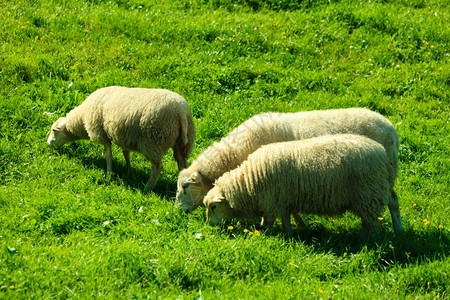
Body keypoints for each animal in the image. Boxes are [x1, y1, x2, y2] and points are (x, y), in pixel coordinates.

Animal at [47, 85, 195, 191]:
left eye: (53, 131)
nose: (48, 144)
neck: (82, 118)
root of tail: (181, 112)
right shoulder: (124, 135)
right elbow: (126, 153)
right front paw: (129, 170)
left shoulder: (101, 133)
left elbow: (108, 155)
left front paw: (109, 175)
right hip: (182, 142)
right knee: (182, 164)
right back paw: (180, 187)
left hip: (154, 141)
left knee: (157, 167)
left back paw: (147, 188)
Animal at [202, 134, 392, 239]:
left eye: (213, 206)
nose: (208, 225)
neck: (248, 182)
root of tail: (380, 150)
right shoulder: (282, 201)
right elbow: (282, 218)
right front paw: (285, 232)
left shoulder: (276, 200)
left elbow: (276, 220)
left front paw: (273, 234)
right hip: (368, 196)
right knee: (370, 220)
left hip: (368, 194)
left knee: (373, 223)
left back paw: (369, 241)